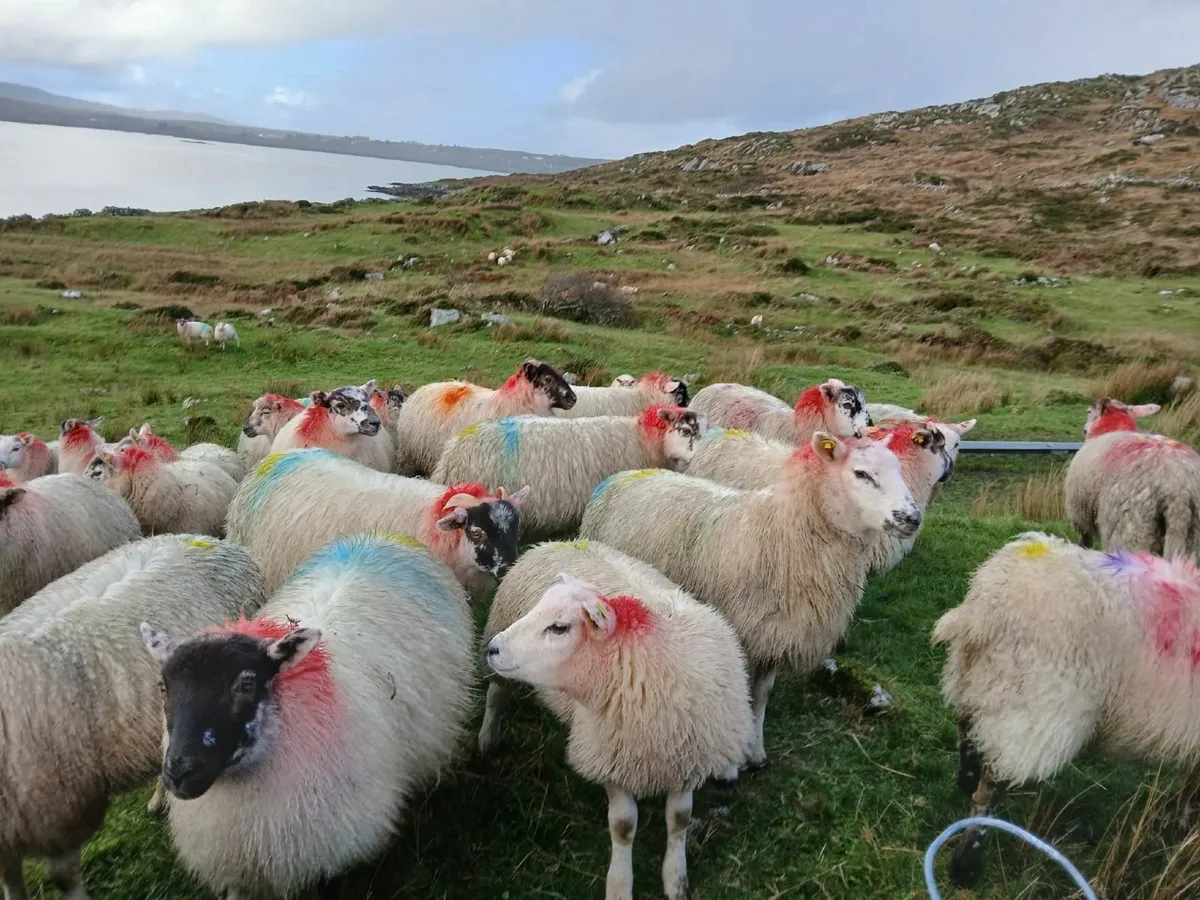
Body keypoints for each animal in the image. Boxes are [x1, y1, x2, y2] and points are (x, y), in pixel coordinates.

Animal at [483, 550, 753, 900]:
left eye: (559, 627)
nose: (493, 648)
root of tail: (554, 543)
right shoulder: (609, 757)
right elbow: (623, 826)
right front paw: (620, 885)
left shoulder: (686, 757)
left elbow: (679, 820)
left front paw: (675, 879)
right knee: (496, 695)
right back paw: (487, 738)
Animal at [580, 432, 921, 769]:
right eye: (861, 474)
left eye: (898, 469)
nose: (913, 518)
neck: (784, 536)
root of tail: (623, 475)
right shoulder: (740, 632)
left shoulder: (772, 634)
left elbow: (762, 693)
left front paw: (755, 750)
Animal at [932, 532, 1200, 887]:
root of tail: (985, 606)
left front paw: (1182, 822)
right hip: (1033, 705)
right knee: (990, 788)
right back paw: (966, 865)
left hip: (977, 677)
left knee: (965, 725)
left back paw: (966, 778)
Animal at [1065, 397, 1200, 559]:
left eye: (1089, 412)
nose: (1084, 429)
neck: (1117, 427)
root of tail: (1179, 487)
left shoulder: (1080, 511)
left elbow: (1085, 539)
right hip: (1189, 533)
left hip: (1132, 528)